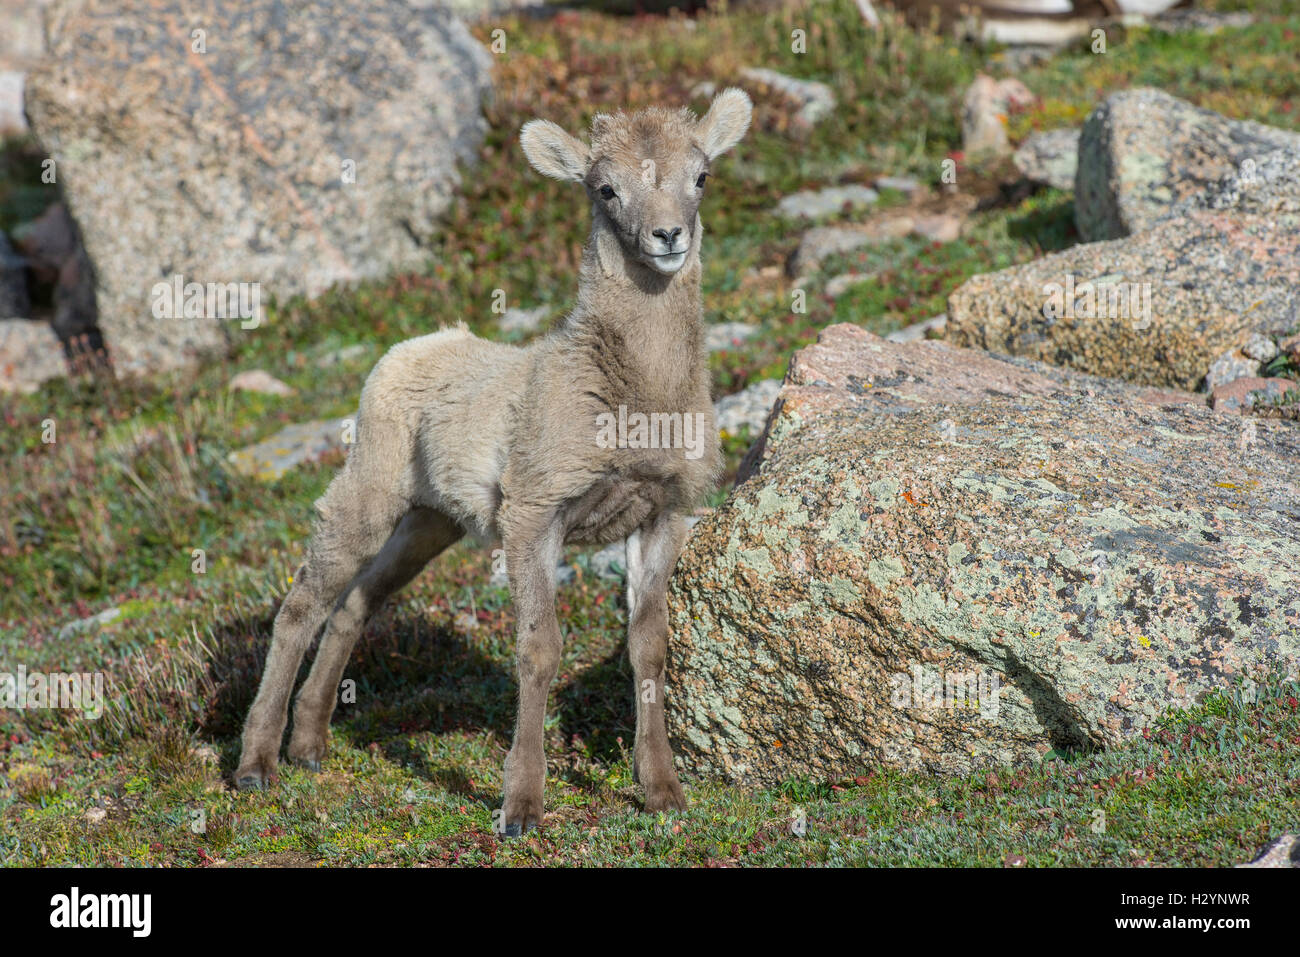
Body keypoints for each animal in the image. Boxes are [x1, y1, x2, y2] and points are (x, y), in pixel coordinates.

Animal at [234, 89, 753, 835]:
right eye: (605, 188)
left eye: (702, 174)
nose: (667, 236)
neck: (637, 397)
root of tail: (404, 352)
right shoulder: (536, 514)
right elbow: (539, 649)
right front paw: (521, 807)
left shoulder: (662, 515)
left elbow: (649, 648)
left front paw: (662, 793)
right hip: (369, 496)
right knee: (302, 604)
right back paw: (256, 766)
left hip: (430, 523)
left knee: (357, 603)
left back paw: (309, 746)